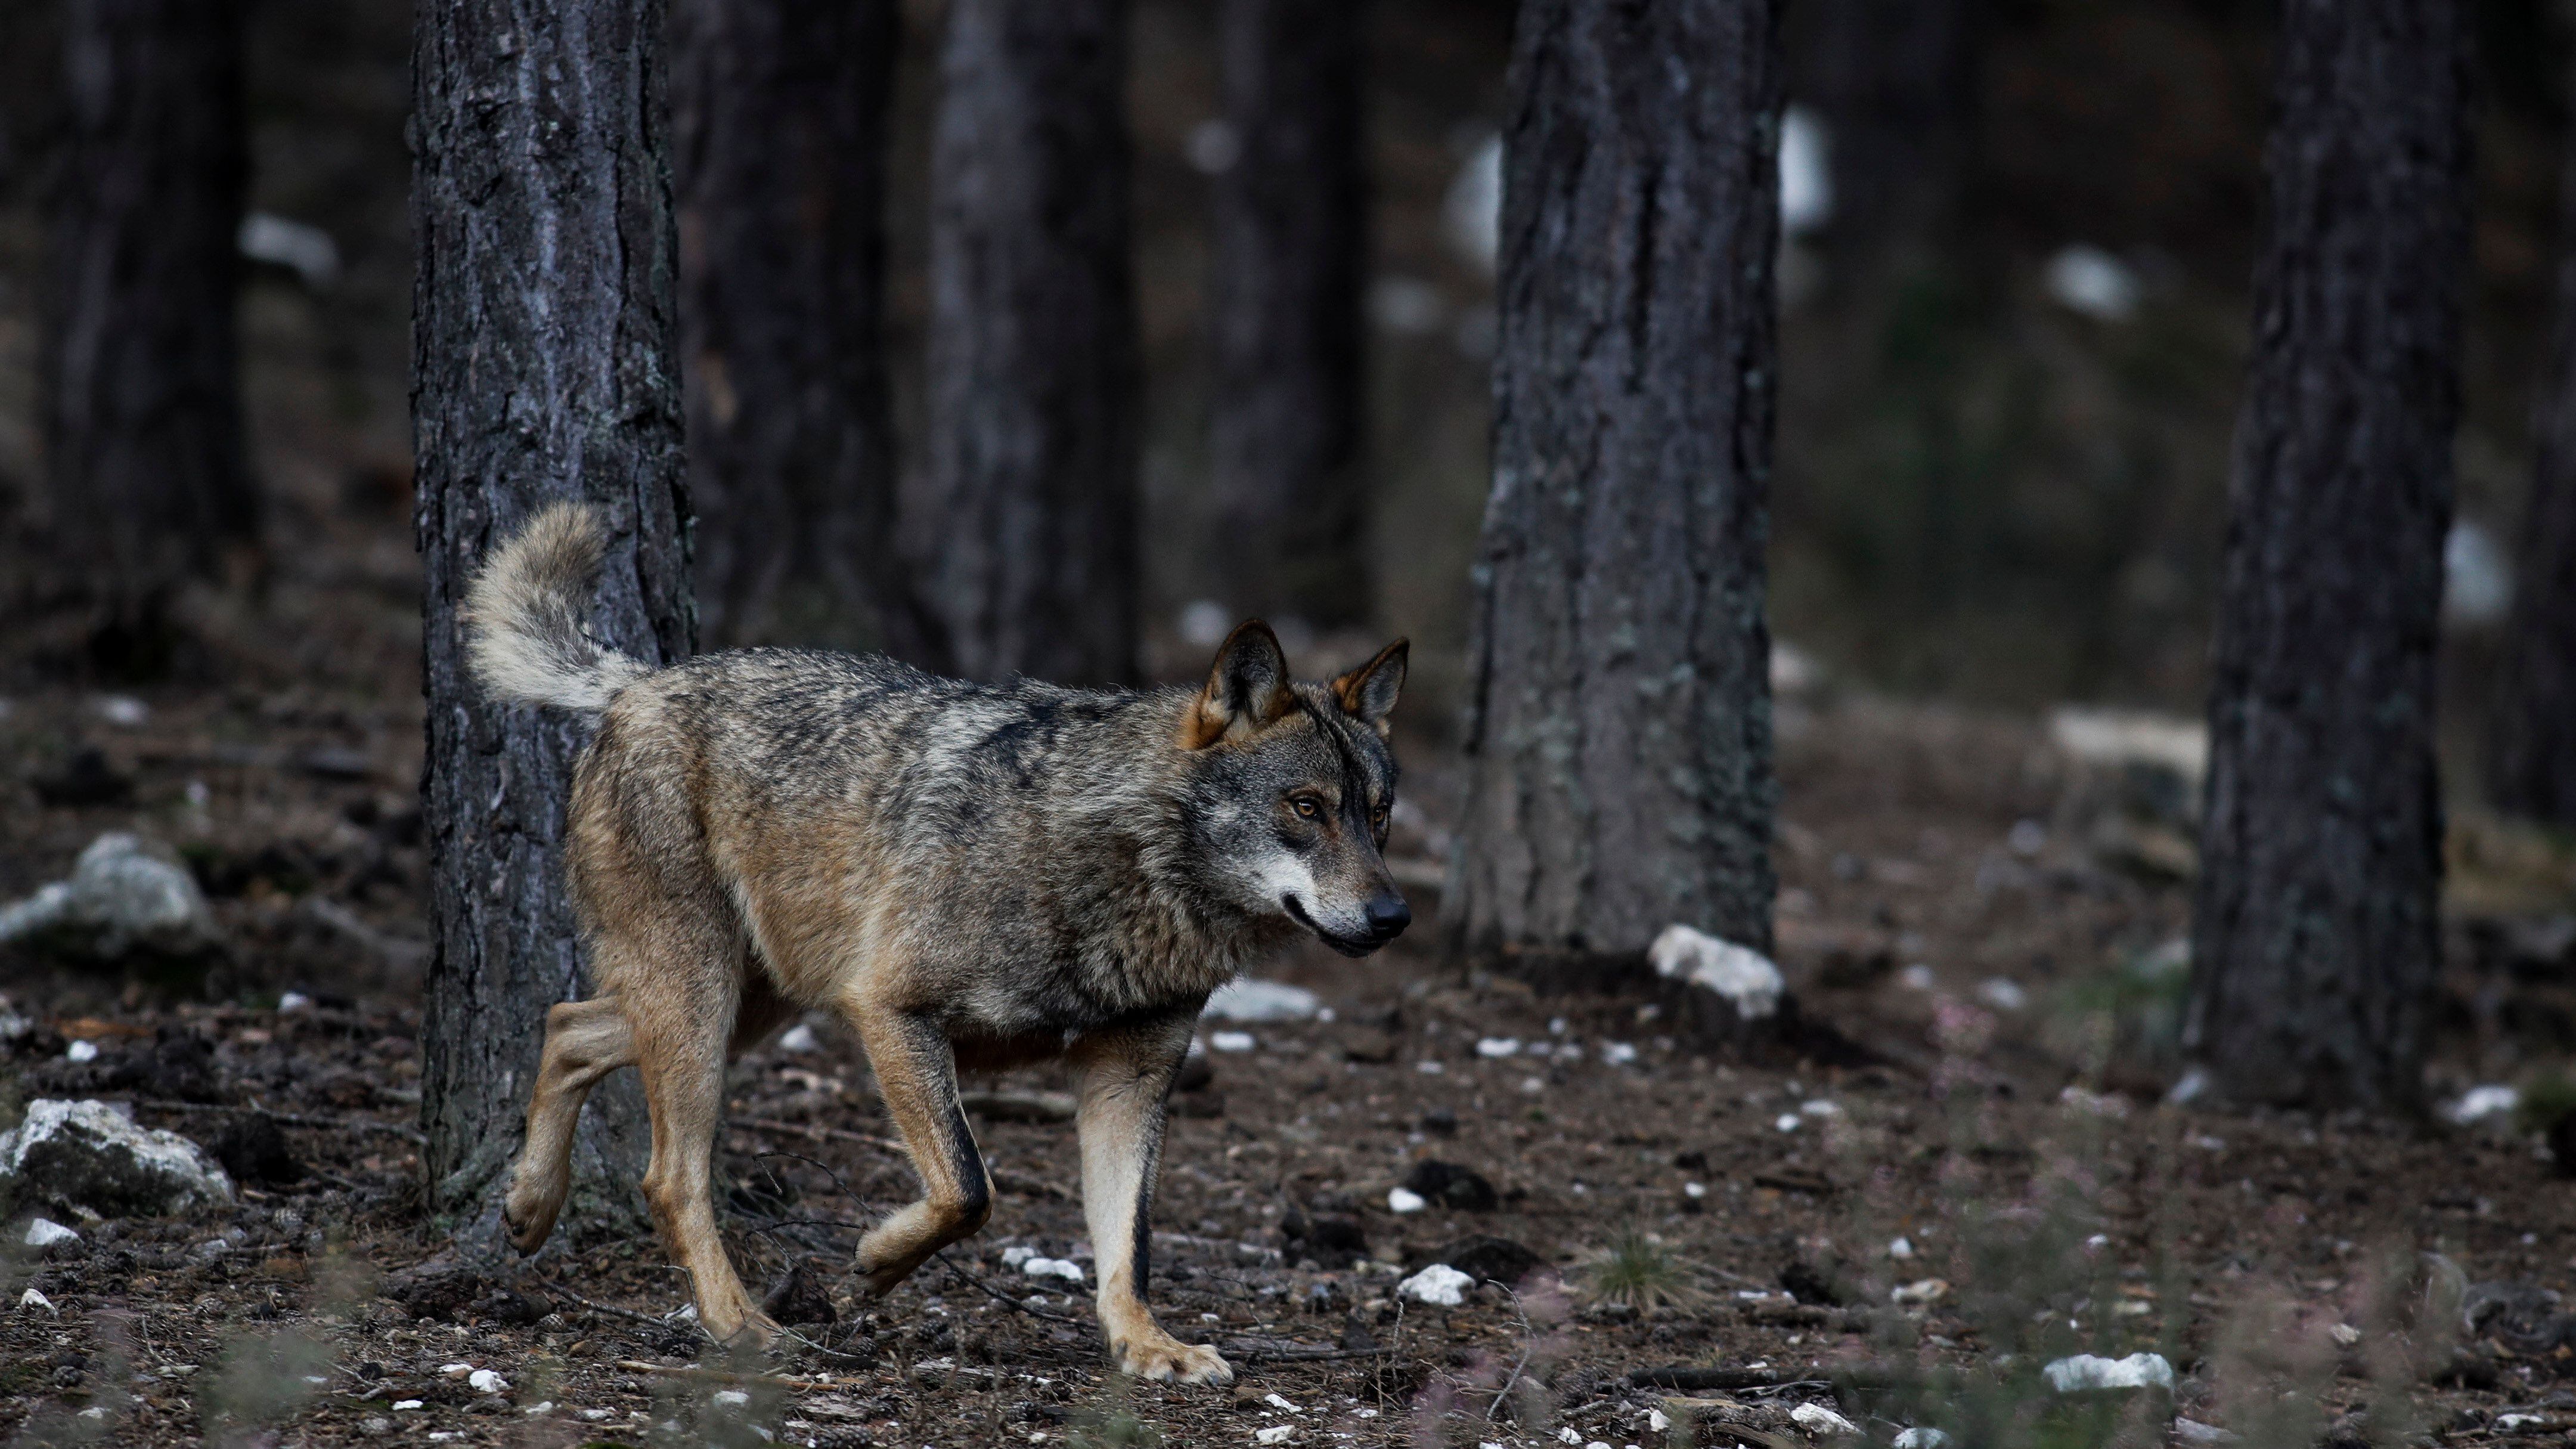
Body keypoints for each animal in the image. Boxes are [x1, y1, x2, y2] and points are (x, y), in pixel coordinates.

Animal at [474, 503, 1422, 1382]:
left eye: (1378, 817)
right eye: (1306, 807)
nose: (1393, 918)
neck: (1122, 867)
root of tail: (639, 683)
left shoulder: (1131, 1077)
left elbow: (1130, 1242)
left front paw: (1147, 1345)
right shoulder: (890, 1009)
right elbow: (970, 1188)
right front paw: (876, 1261)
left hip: (751, 1005)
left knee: (567, 1025)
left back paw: (528, 1207)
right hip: (709, 1006)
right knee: (668, 1176)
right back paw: (740, 1325)